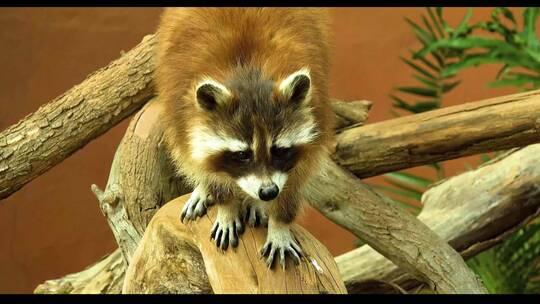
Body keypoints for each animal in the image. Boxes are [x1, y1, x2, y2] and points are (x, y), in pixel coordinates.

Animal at [155, 6, 334, 268]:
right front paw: (226, 205)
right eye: (242, 155)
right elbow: (203, 164)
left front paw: (279, 223)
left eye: (280, 151)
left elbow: (296, 181)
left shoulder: (316, 117)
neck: (249, 76)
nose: (268, 192)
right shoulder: (182, 110)